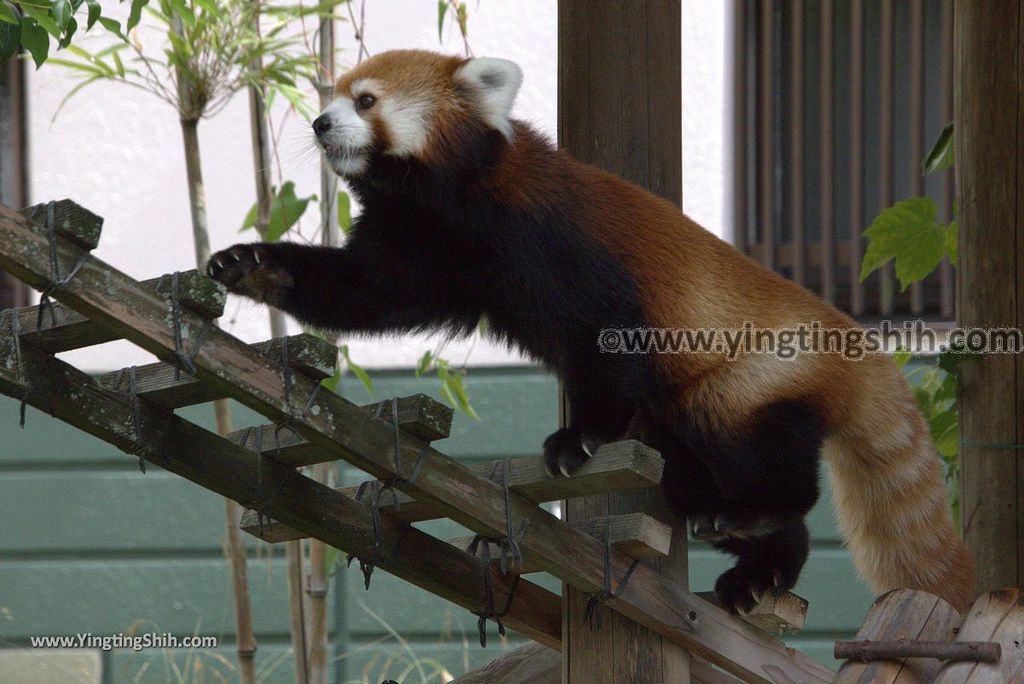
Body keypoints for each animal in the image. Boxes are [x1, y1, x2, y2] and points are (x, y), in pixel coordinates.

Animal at [203, 50, 970, 610]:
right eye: (333, 95)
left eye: (365, 101)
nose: (319, 124)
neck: (458, 200)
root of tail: (852, 344)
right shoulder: (426, 247)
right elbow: (364, 291)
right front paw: (254, 267)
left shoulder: (554, 238)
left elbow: (605, 334)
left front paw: (581, 437)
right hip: (683, 438)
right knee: (698, 487)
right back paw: (761, 564)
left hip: (751, 378)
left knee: (762, 453)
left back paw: (761, 513)